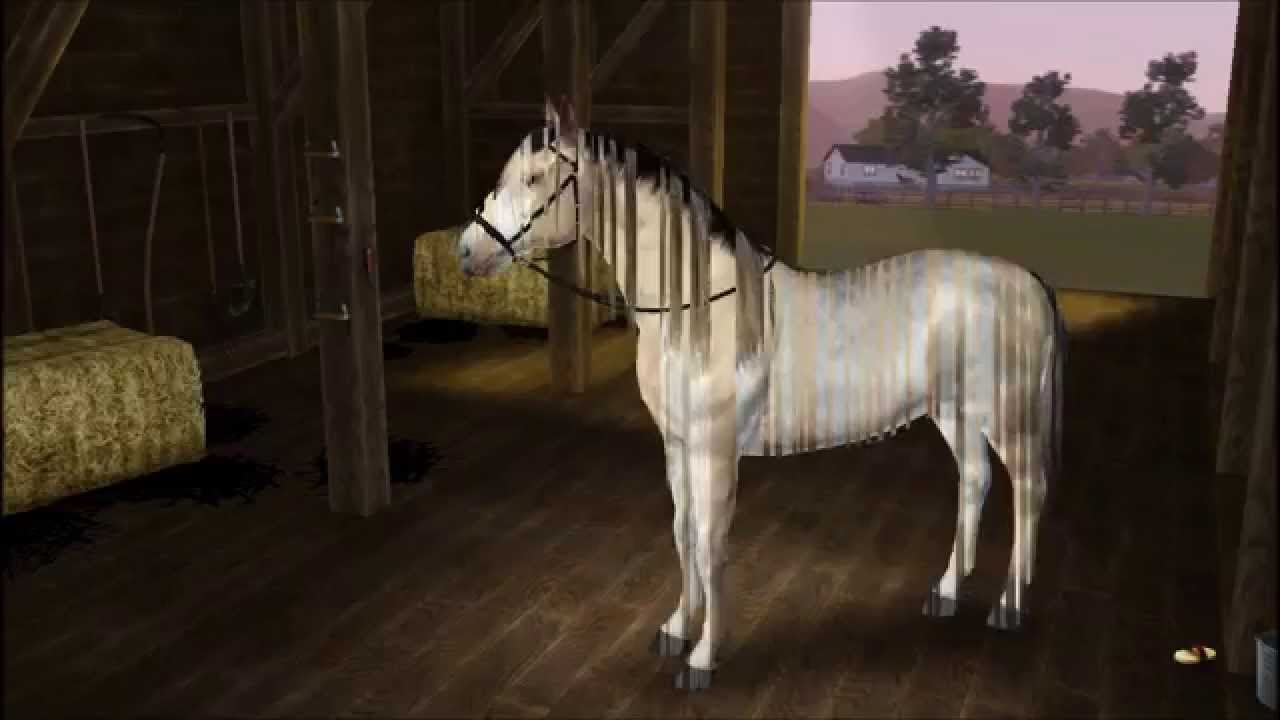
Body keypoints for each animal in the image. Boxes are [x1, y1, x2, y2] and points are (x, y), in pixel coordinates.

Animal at [457, 98, 1065, 691]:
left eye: (535, 177)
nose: (466, 251)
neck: (699, 307)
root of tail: (1030, 284)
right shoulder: (677, 446)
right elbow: (681, 534)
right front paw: (675, 630)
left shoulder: (714, 450)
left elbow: (709, 544)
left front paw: (702, 660)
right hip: (954, 412)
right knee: (975, 483)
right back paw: (945, 594)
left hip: (1005, 416)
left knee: (1028, 490)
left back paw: (1008, 607)